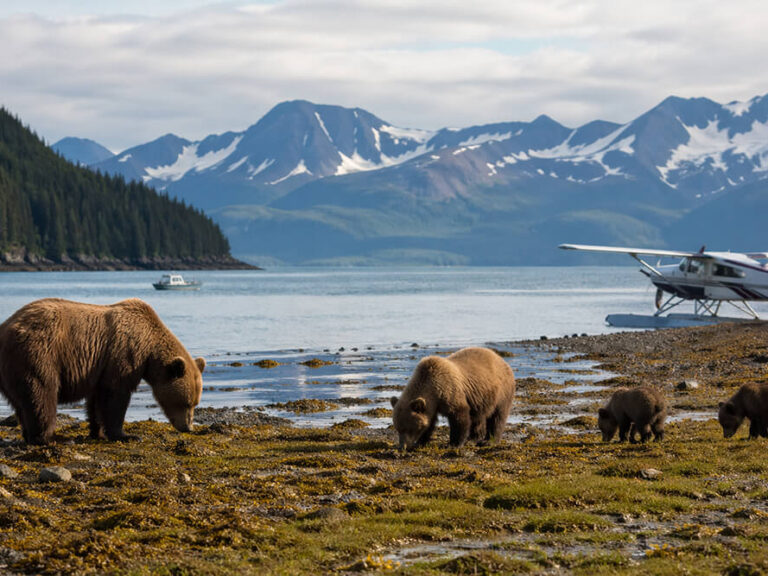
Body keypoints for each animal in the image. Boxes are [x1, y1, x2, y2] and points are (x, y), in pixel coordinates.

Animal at [0, 298, 205, 445]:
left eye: (195, 403)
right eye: (186, 403)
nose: (188, 427)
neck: (149, 348)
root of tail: (5, 328)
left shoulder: (98, 366)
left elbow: (96, 401)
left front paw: (97, 432)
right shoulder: (123, 356)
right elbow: (115, 396)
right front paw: (125, 435)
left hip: (11, 369)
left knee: (22, 401)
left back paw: (29, 435)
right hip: (38, 353)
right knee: (42, 393)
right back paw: (52, 438)